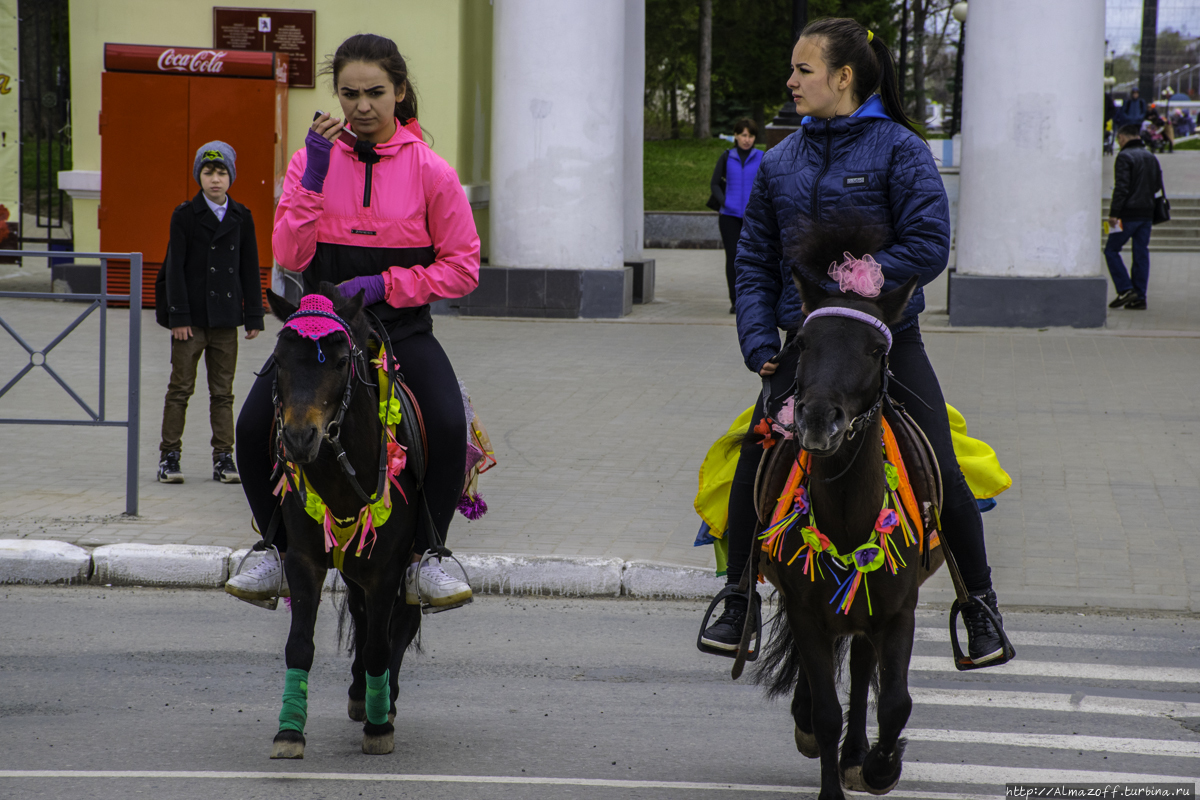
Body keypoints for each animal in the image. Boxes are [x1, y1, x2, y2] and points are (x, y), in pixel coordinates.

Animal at [753, 224, 940, 800]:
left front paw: (881, 766)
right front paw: (831, 774)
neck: (845, 515)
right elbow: (827, 710)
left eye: (877, 349)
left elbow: (895, 702)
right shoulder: (807, 612)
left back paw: (859, 754)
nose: (817, 420)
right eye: (804, 342)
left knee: (860, 674)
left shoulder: (899, 611)